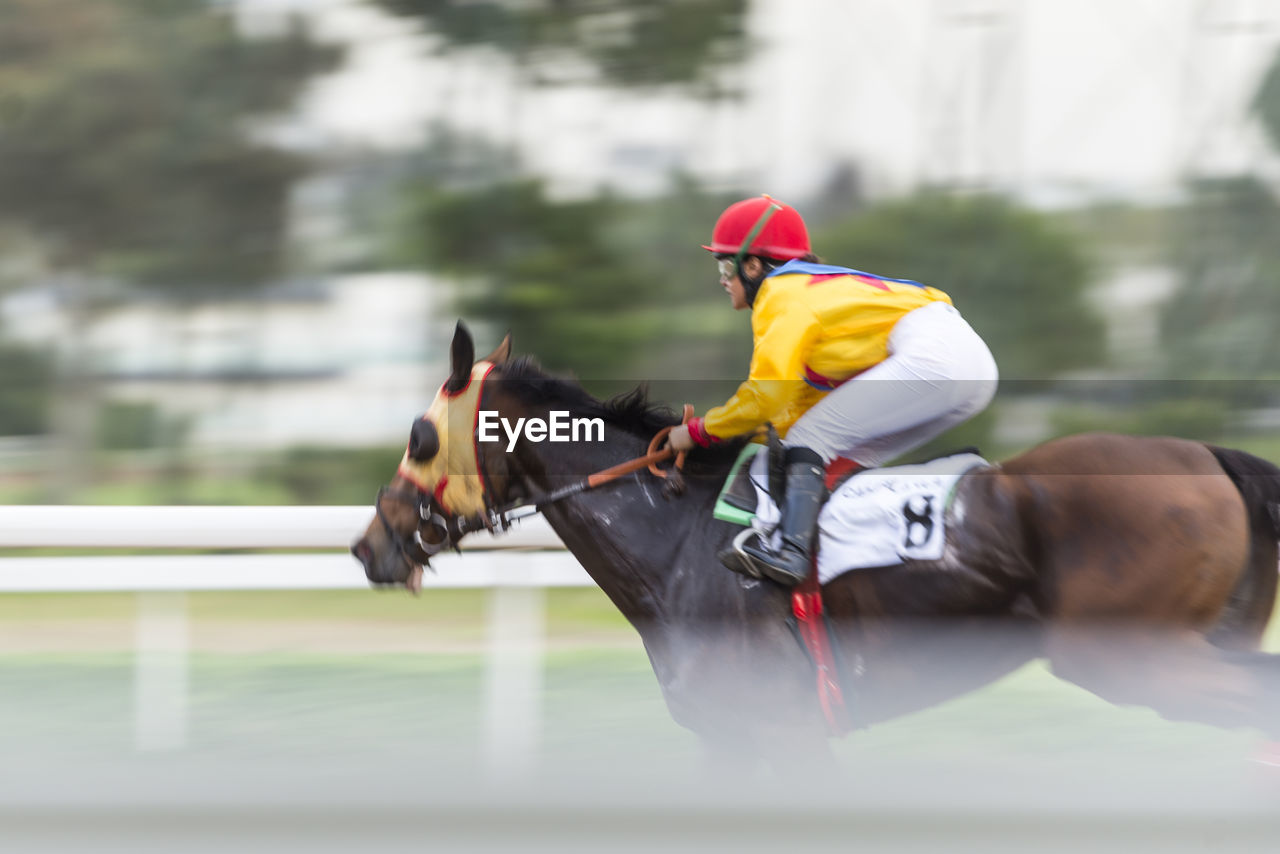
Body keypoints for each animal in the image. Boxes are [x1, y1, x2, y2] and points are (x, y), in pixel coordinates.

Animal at [350, 325, 1280, 768]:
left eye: (421, 439)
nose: (370, 546)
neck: (677, 546)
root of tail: (1210, 456)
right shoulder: (730, 738)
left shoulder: (785, 728)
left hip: (1130, 656)